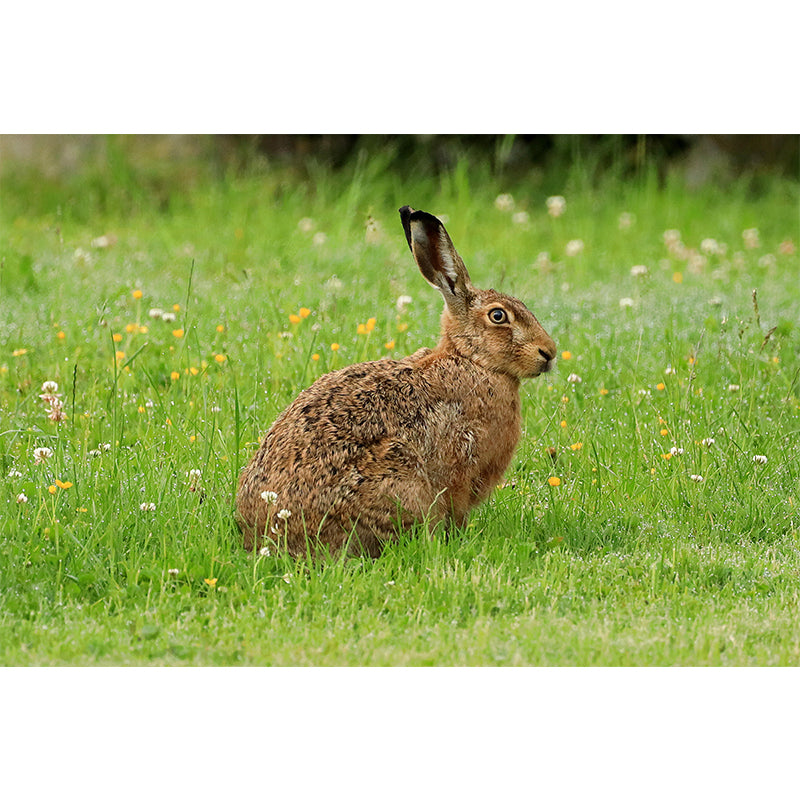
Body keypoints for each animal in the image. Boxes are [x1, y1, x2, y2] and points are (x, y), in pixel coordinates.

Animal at [236, 206, 557, 558]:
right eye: (498, 316)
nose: (549, 352)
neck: (472, 360)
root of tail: (266, 537)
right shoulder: (459, 467)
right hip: (398, 480)